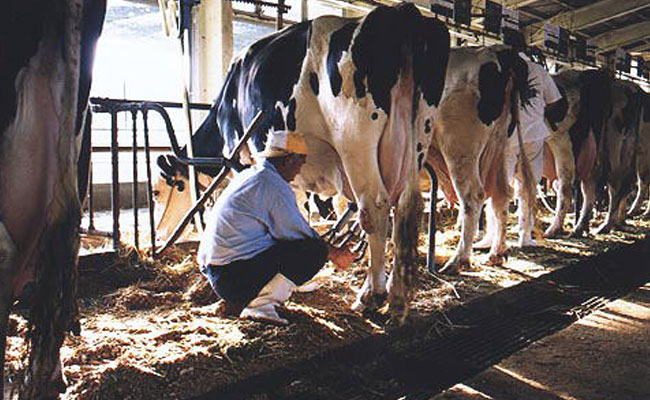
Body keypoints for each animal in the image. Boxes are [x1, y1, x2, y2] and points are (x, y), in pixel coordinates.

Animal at [154, 3, 448, 320]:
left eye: (158, 190)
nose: (159, 234)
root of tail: (402, 12)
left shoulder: (244, 158)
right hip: (415, 139)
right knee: (405, 209)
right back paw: (398, 299)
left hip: (355, 141)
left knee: (374, 209)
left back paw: (371, 296)